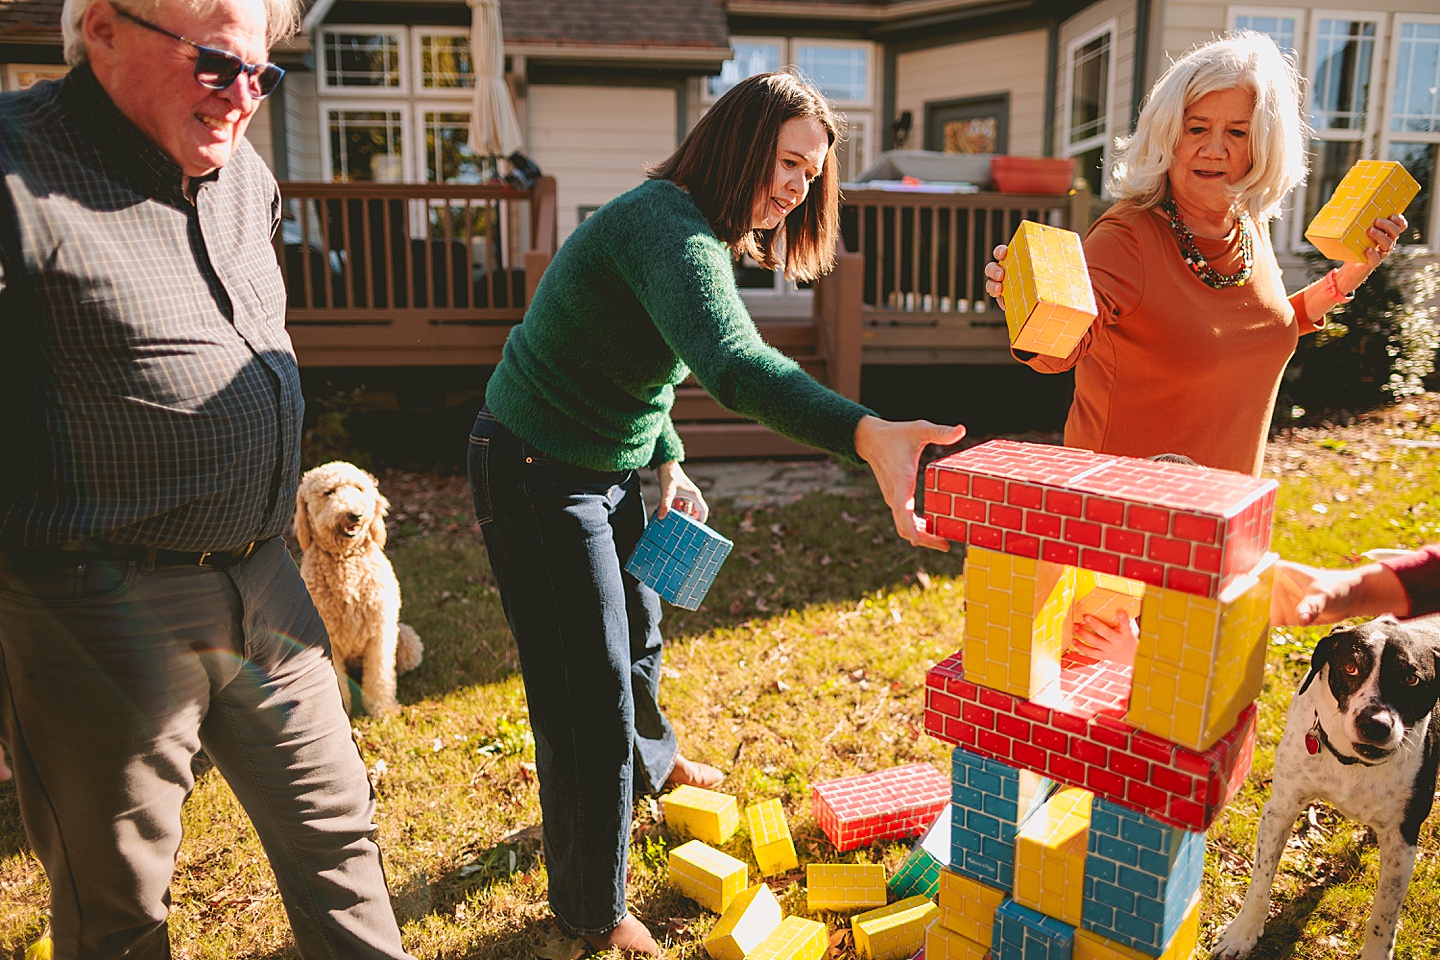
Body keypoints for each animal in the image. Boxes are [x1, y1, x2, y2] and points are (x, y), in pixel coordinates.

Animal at [295, 460, 420, 716]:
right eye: (329, 492)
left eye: (359, 489)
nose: (355, 514)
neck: (346, 561)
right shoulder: (326, 640)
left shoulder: (380, 633)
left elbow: (380, 676)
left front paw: (382, 710)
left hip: (407, 638)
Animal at [1215, 616, 1440, 960]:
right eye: (1351, 667)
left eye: (1410, 678)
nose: (1374, 725)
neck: (1351, 763)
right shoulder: (1280, 808)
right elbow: (1260, 880)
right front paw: (1242, 933)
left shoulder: (1402, 839)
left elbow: (1384, 915)